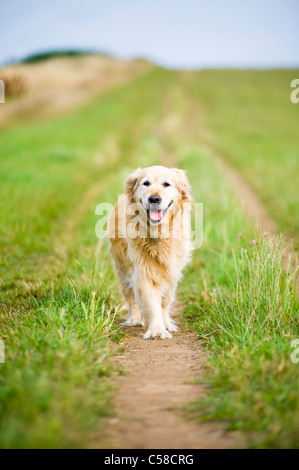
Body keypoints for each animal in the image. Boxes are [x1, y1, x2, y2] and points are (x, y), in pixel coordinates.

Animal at [107, 165, 192, 338]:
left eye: (167, 184)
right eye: (146, 183)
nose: (154, 199)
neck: (158, 233)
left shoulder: (172, 271)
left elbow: (165, 301)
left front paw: (166, 324)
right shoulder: (144, 271)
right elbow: (151, 303)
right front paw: (157, 330)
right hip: (123, 268)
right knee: (130, 296)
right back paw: (134, 319)